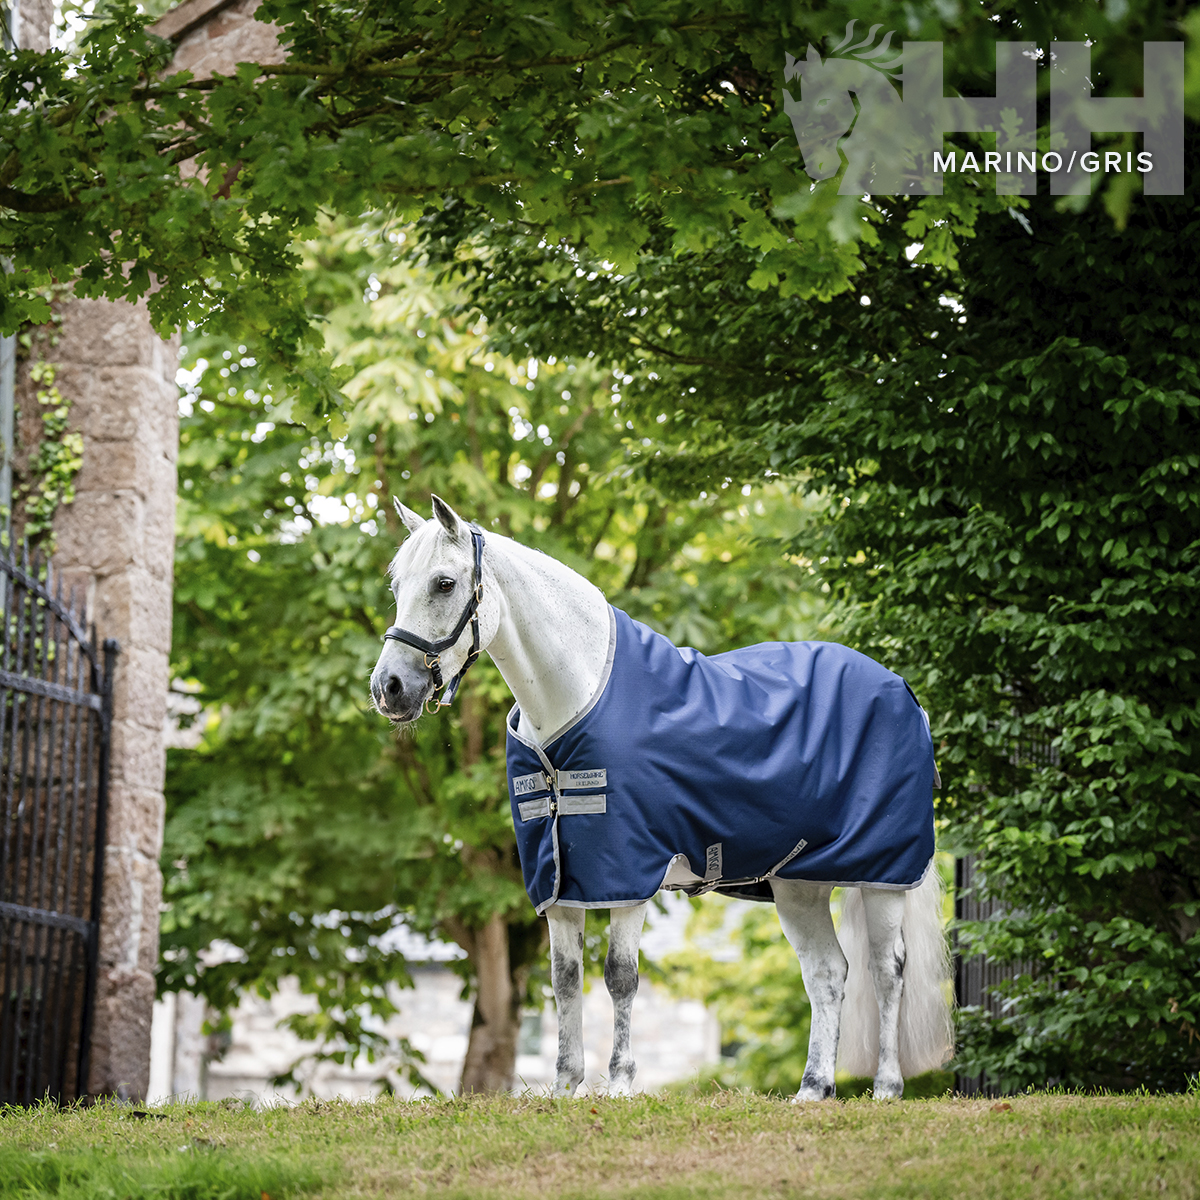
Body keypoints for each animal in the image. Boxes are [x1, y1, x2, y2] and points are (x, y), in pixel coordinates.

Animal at [371, 496, 954, 1100]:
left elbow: (619, 976)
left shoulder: (628, 874)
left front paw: (620, 1084)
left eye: (444, 583)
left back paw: (886, 1087)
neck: (576, 701)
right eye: (397, 585)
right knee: (827, 973)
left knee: (887, 970)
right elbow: (564, 979)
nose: (389, 688)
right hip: (798, 886)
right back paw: (813, 1088)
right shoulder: (559, 883)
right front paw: (565, 1087)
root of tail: (904, 694)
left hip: (882, 875)